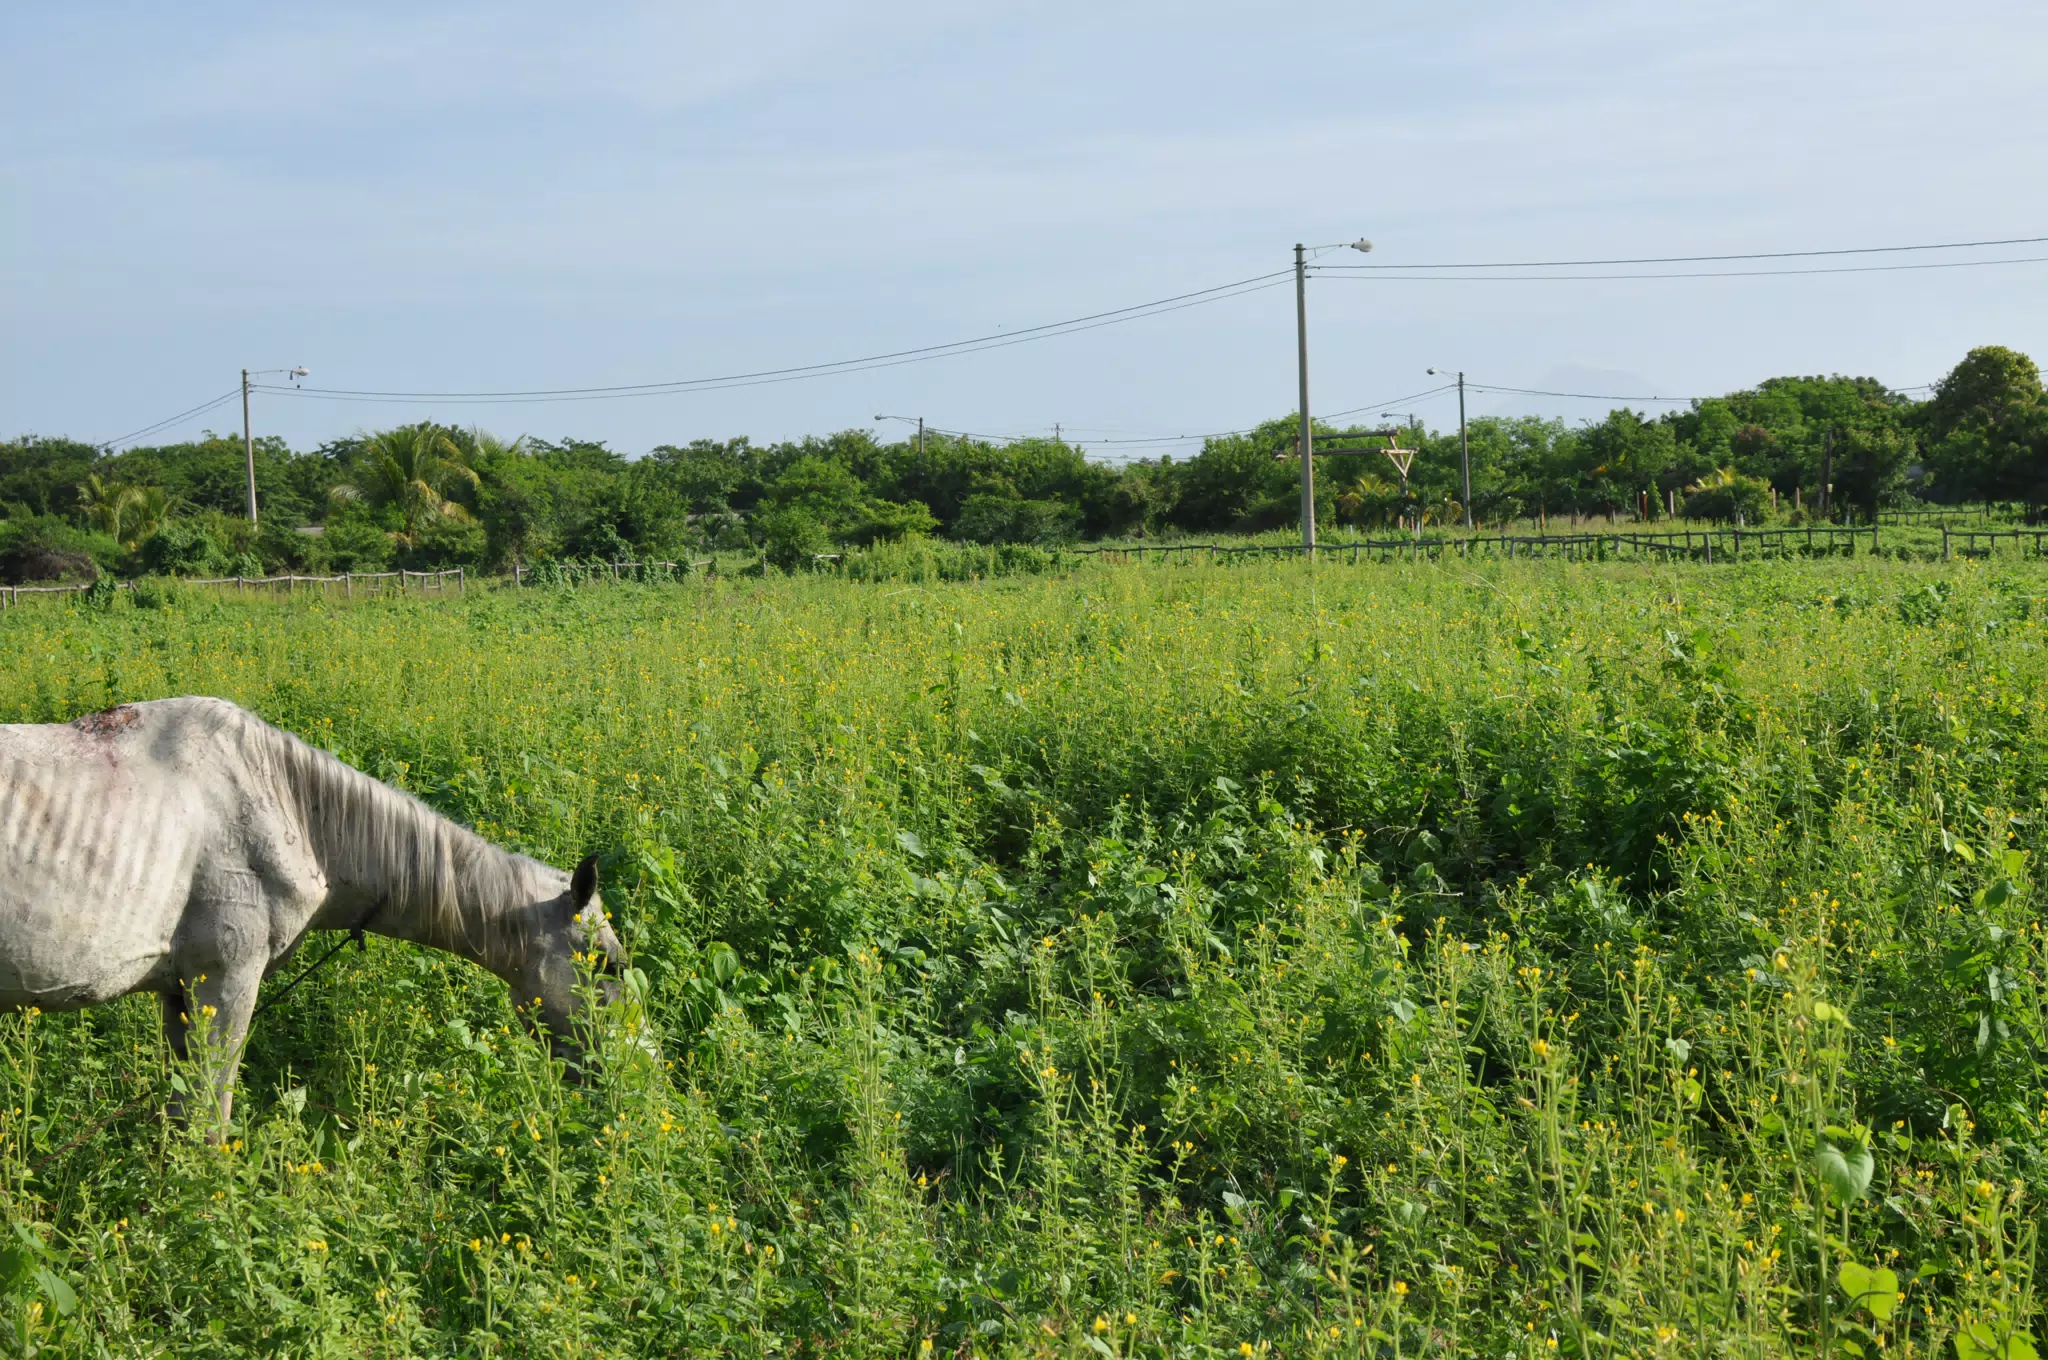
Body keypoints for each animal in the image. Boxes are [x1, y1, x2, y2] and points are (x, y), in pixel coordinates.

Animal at [0, 696, 625, 1133]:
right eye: (609, 965)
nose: (625, 1072)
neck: (286, 801)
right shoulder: (224, 981)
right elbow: (211, 1116)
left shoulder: (177, 991)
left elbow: (183, 1116)